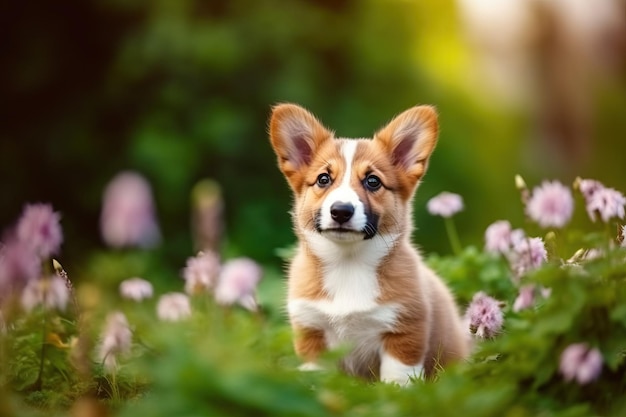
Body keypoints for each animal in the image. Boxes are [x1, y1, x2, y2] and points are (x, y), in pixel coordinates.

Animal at [268, 103, 468, 384]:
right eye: (323, 179)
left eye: (373, 181)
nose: (341, 211)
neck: (348, 263)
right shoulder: (312, 332)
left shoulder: (404, 334)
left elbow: (397, 382)